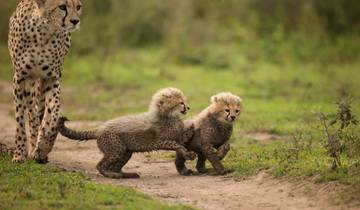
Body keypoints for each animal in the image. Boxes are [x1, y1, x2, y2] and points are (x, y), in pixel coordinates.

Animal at [7, 0, 82, 162]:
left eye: (78, 7)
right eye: (62, 7)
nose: (75, 21)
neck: (43, 32)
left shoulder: (52, 79)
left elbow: (53, 115)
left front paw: (43, 147)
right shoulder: (20, 78)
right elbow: (20, 118)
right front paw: (19, 154)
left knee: (40, 113)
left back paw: (38, 150)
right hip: (30, 83)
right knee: (32, 114)